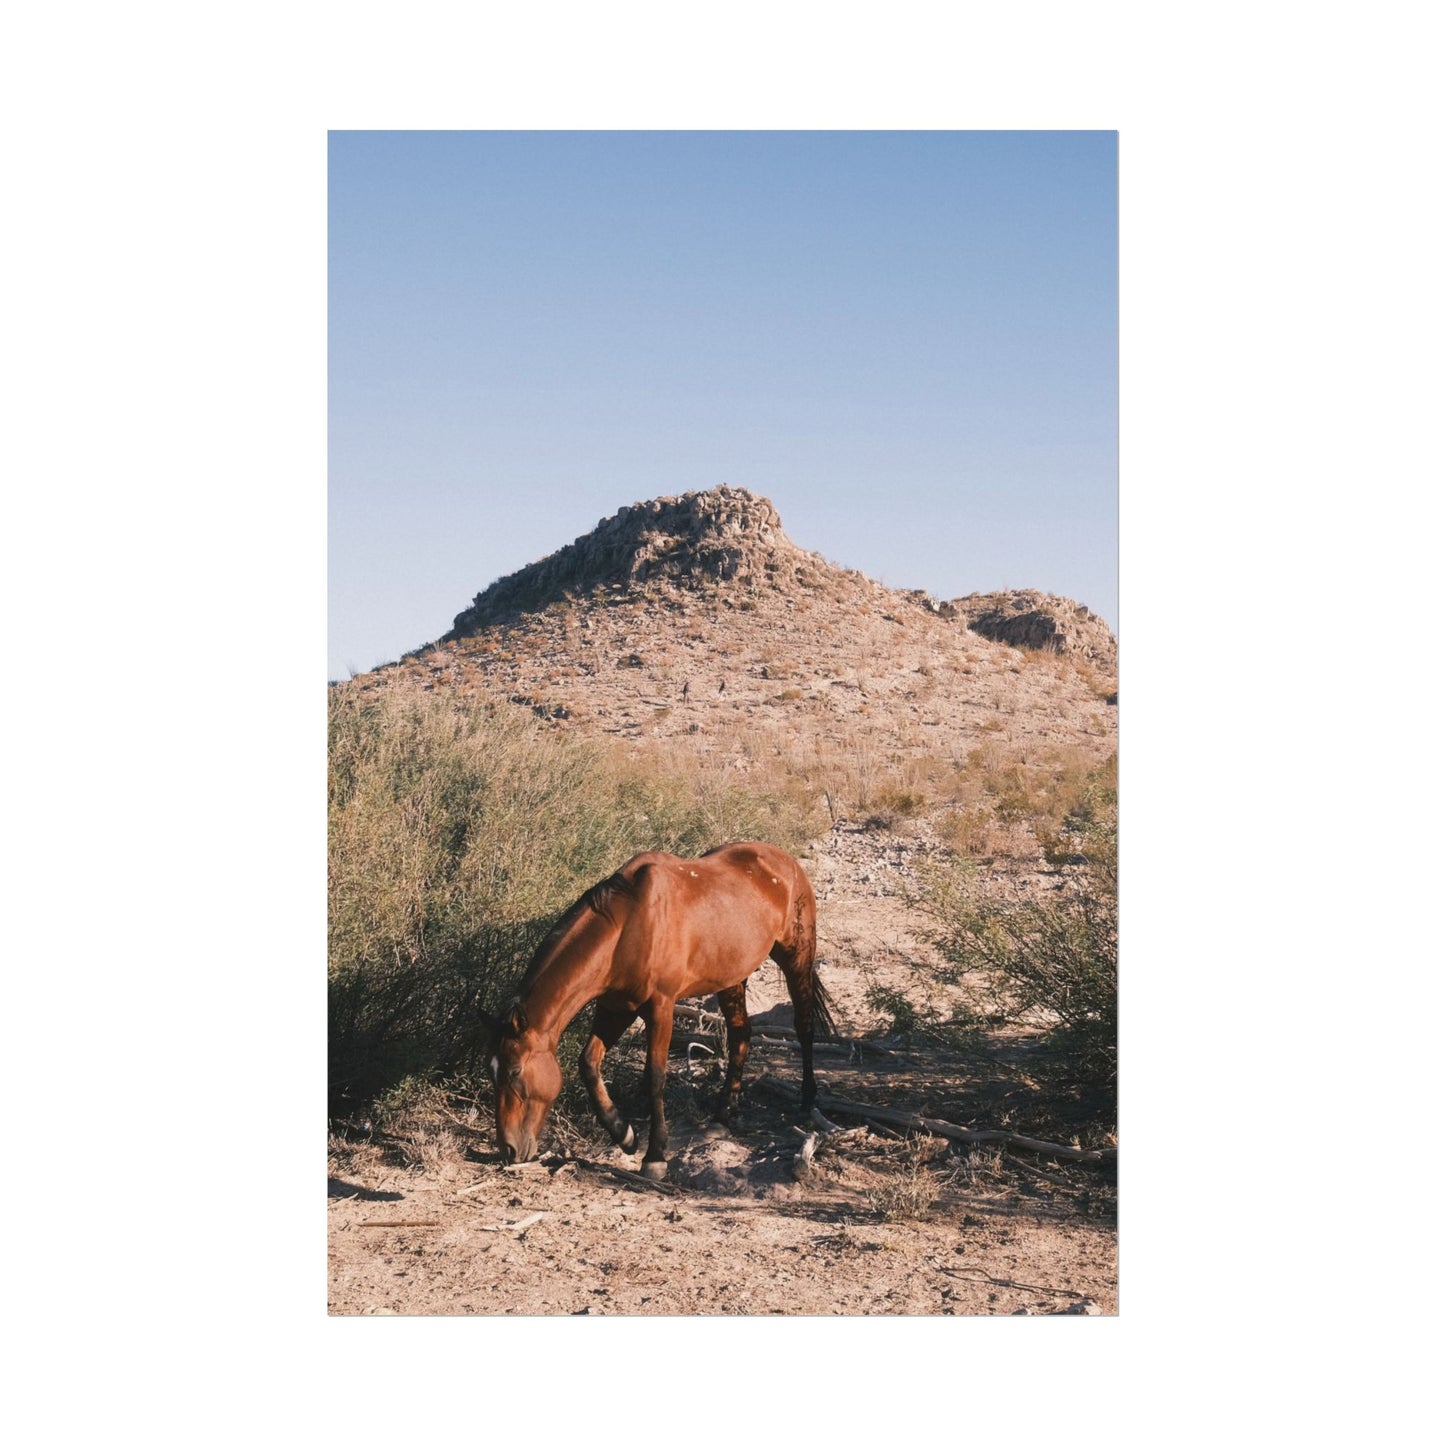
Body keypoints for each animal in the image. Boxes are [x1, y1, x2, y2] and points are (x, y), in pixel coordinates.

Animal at [479, 841, 834, 1180]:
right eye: (491, 1072)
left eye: (514, 1072)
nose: (508, 1149)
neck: (627, 927)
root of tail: (785, 861)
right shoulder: (616, 1007)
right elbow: (589, 1063)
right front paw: (623, 1134)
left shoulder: (660, 1007)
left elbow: (655, 1078)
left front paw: (655, 1157)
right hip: (732, 976)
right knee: (740, 1035)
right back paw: (723, 1114)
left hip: (796, 957)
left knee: (804, 1027)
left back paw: (808, 1101)